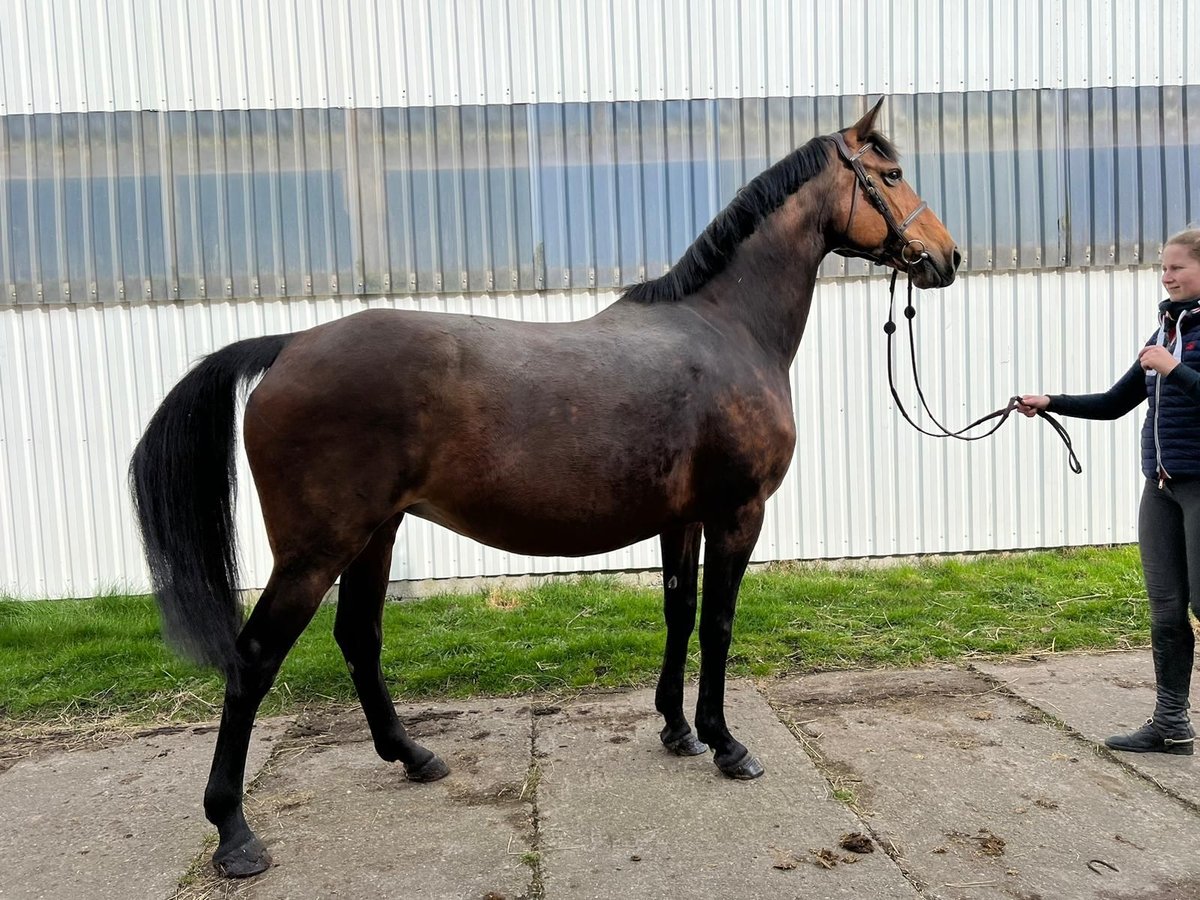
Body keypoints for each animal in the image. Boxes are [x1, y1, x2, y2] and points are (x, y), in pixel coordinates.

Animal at [129, 100, 955, 883]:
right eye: (888, 175)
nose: (945, 257)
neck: (725, 330)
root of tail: (289, 346)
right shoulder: (736, 514)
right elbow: (719, 624)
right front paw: (726, 744)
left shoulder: (682, 519)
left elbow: (680, 614)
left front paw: (677, 730)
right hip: (316, 549)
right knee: (254, 659)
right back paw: (235, 833)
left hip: (374, 534)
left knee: (359, 636)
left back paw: (415, 757)